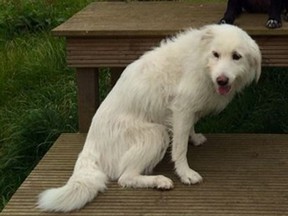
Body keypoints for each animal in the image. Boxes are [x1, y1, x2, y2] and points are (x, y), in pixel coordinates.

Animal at [37, 23, 262, 211]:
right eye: (215, 54)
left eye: (236, 56)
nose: (222, 80)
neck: (201, 61)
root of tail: (89, 147)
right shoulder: (181, 109)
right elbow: (180, 149)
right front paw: (185, 173)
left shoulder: (186, 111)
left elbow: (189, 129)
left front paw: (195, 137)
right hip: (157, 134)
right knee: (125, 178)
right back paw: (160, 181)